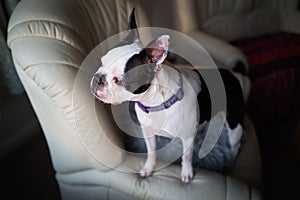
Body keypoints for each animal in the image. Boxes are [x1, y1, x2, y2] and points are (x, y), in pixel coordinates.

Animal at [91, 9, 244, 183]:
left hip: (235, 126)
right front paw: (148, 168)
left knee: (235, 145)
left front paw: (186, 173)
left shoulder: (187, 137)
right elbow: (151, 152)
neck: (154, 103)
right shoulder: (148, 133)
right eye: (102, 62)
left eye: (118, 80)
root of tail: (231, 74)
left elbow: (187, 156)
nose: (97, 78)